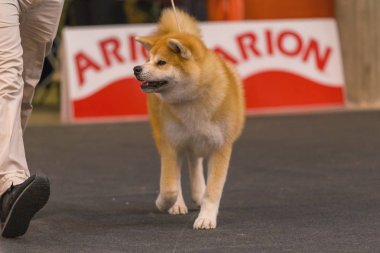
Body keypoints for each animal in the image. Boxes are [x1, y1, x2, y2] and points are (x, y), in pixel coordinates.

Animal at [134, 8, 246, 229]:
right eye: (148, 59)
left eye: (161, 62)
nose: (136, 68)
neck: (193, 100)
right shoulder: (171, 144)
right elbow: (169, 186)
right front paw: (163, 202)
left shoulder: (221, 146)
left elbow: (213, 190)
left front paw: (206, 217)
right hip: (167, 136)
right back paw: (178, 204)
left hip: (198, 140)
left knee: (194, 162)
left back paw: (198, 193)